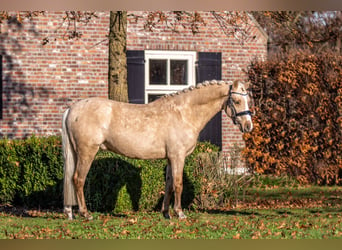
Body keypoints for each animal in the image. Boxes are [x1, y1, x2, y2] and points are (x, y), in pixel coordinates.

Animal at [62, 79, 254, 220]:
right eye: (237, 101)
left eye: (248, 101)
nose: (248, 126)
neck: (183, 113)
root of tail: (72, 109)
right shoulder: (178, 156)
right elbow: (178, 183)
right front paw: (180, 213)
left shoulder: (170, 158)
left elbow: (169, 184)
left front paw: (166, 213)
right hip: (87, 152)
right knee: (78, 179)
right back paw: (86, 214)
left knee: (72, 179)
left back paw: (70, 212)